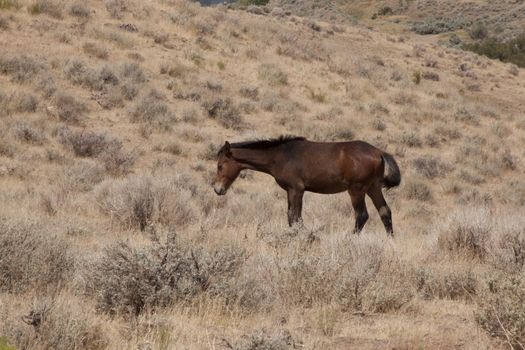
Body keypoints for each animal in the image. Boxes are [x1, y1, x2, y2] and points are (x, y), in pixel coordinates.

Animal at [211, 135, 400, 237]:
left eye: (220, 166)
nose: (218, 189)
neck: (281, 156)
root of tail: (379, 152)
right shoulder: (291, 191)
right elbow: (292, 217)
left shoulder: (296, 190)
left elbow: (295, 217)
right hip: (373, 188)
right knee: (385, 212)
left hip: (357, 190)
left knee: (361, 215)